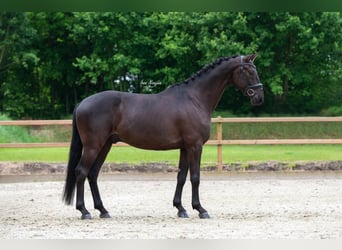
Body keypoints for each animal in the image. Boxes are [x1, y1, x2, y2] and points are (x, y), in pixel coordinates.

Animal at [62, 54, 264, 219]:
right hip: (93, 146)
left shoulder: (185, 147)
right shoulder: (195, 145)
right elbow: (195, 177)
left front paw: (181, 209)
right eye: (248, 71)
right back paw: (84, 211)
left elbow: (181, 176)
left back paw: (103, 211)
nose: (259, 98)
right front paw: (200, 209)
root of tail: (83, 103)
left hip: (105, 145)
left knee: (93, 174)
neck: (195, 99)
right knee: (81, 172)